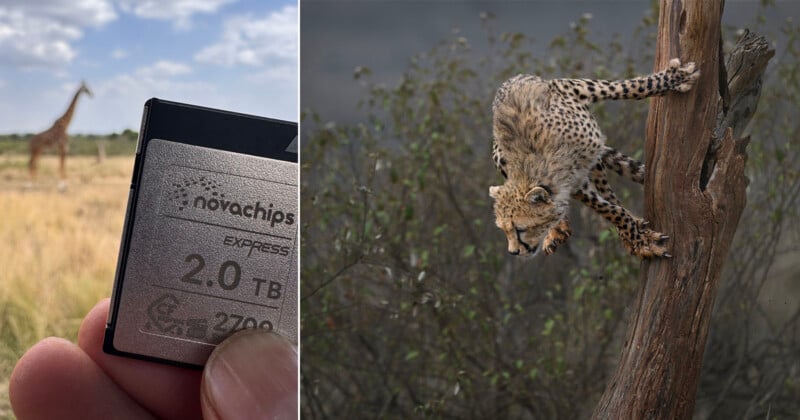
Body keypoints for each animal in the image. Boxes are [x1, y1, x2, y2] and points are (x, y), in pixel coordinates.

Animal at [489, 58, 700, 259]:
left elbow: (632, 87)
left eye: (520, 229)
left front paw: (676, 77)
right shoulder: (575, 186)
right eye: (504, 230)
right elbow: (610, 210)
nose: (513, 252)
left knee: (609, 192)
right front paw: (639, 240)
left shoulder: (572, 86)